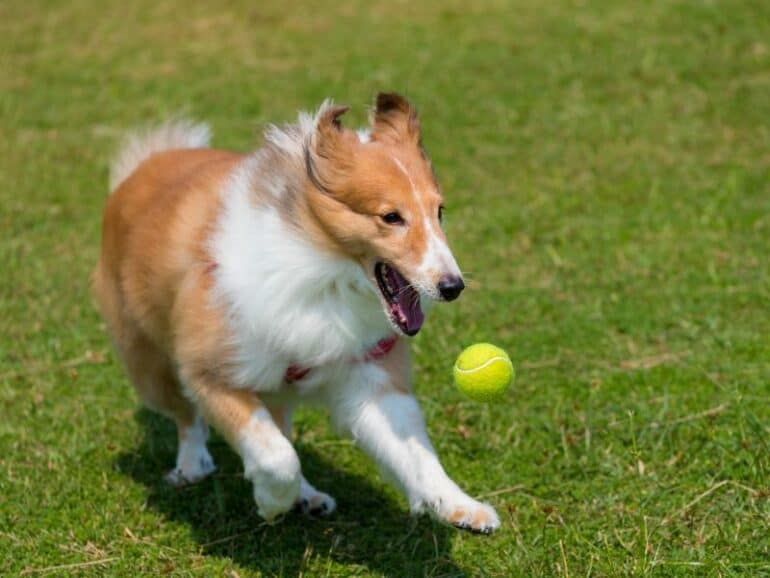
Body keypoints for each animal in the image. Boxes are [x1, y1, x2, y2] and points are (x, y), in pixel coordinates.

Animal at [91, 93, 498, 532]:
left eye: (440, 211)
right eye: (391, 217)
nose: (453, 287)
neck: (326, 273)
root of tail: (144, 164)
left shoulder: (368, 373)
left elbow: (416, 454)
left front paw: (460, 505)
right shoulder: (213, 373)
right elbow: (276, 454)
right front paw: (272, 501)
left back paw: (308, 496)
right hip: (151, 363)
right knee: (188, 417)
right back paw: (193, 465)